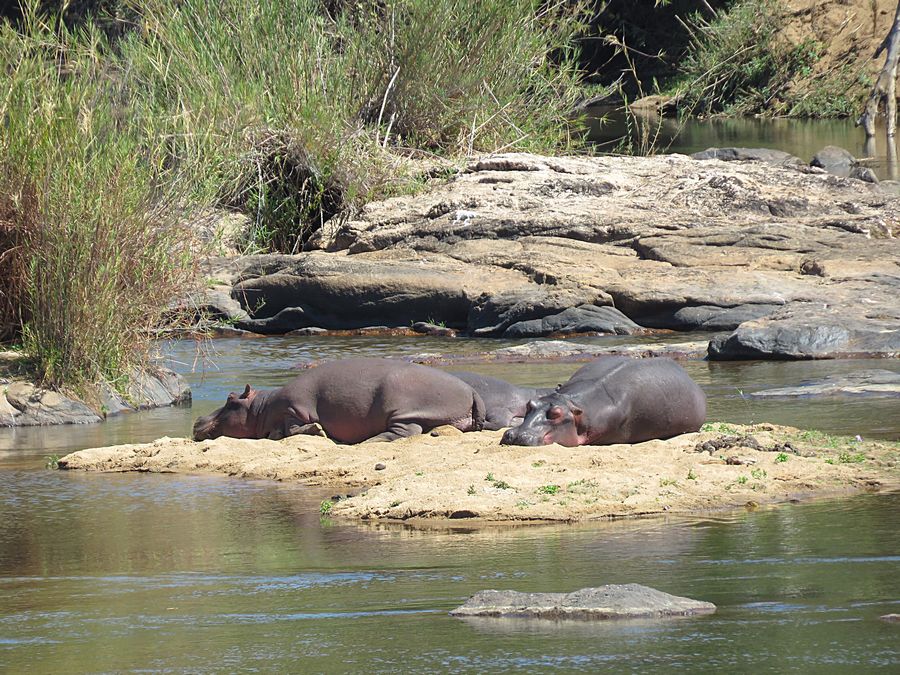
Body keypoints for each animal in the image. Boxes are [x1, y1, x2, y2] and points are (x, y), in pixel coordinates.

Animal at [193, 358, 486, 444]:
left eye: (230, 399)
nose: (198, 418)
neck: (260, 408)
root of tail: (471, 391)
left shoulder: (294, 409)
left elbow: (292, 428)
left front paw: (317, 430)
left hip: (402, 409)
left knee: (404, 431)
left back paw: (370, 441)